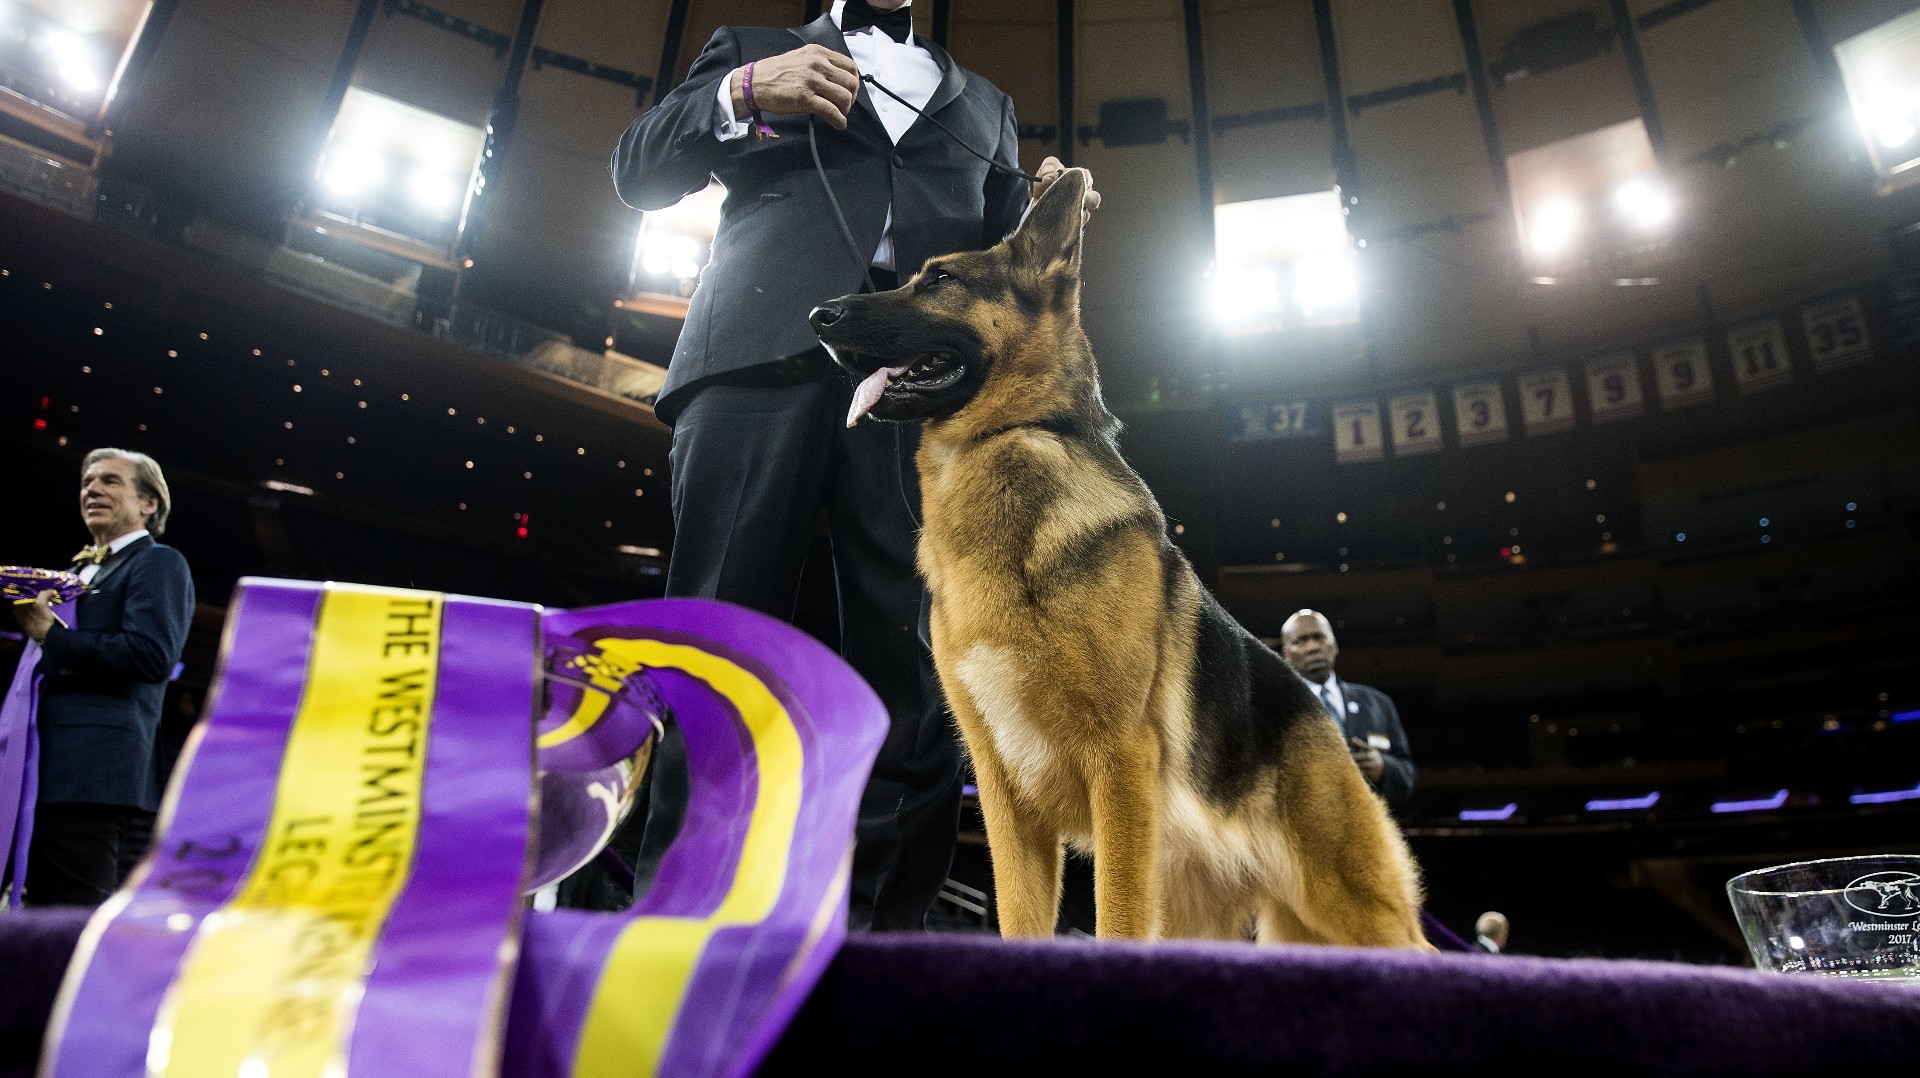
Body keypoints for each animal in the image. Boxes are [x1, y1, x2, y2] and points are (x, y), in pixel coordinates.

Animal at [806, 168, 1428, 941]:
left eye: (941, 279)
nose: (817, 315)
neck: (1008, 441)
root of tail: (1320, 710)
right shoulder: (1006, 798)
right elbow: (1022, 923)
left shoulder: (1120, 767)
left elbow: (1116, 920)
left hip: (1356, 905)